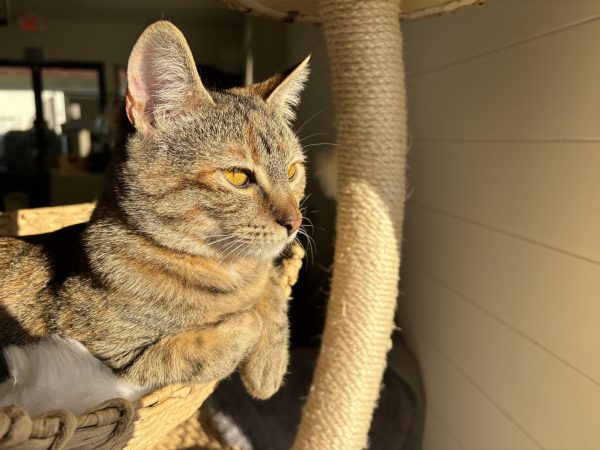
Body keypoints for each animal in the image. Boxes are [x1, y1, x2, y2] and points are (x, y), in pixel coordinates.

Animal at [0, 20, 310, 408]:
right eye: (239, 176)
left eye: (293, 171)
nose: (294, 222)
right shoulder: (104, 364)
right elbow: (194, 347)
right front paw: (247, 323)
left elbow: (269, 285)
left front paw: (268, 362)